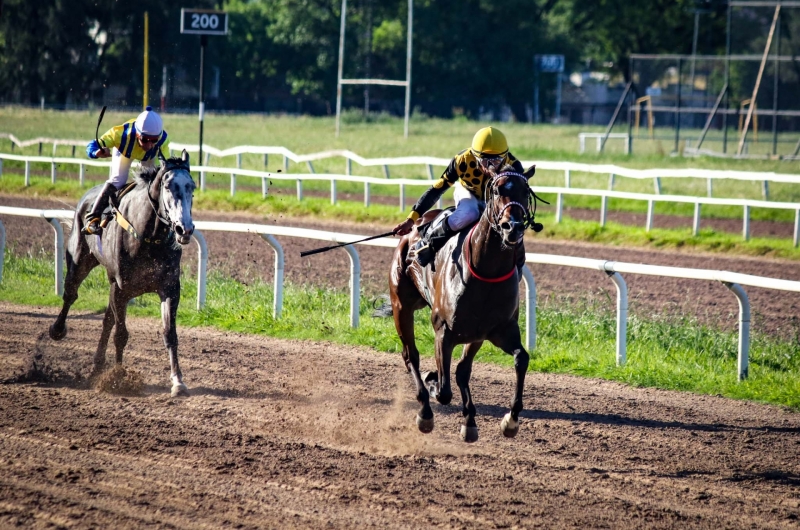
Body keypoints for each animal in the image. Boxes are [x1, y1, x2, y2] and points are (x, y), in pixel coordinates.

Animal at [50, 151, 197, 394]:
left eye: (192, 187)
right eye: (168, 186)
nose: (184, 229)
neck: (149, 236)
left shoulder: (169, 288)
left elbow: (169, 333)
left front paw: (178, 381)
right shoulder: (121, 288)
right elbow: (121, 335)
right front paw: (118, 378)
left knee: (107, 320)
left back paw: (97, 367)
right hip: (80, 260)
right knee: (71, 293)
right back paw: (58, 330)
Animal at [388, 163, 536, 440]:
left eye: (526, 191)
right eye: (497, 191)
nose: (512, 227)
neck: (486, 271)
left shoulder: (497, 330)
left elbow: (520, 359)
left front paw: (509, 421)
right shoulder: (443, 331)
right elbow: (444, 391)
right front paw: (433, 383)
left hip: (474, 335)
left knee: (461, 370)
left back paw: (468, 419)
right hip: (400, 306)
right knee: (410, 355)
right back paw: (425, 408)